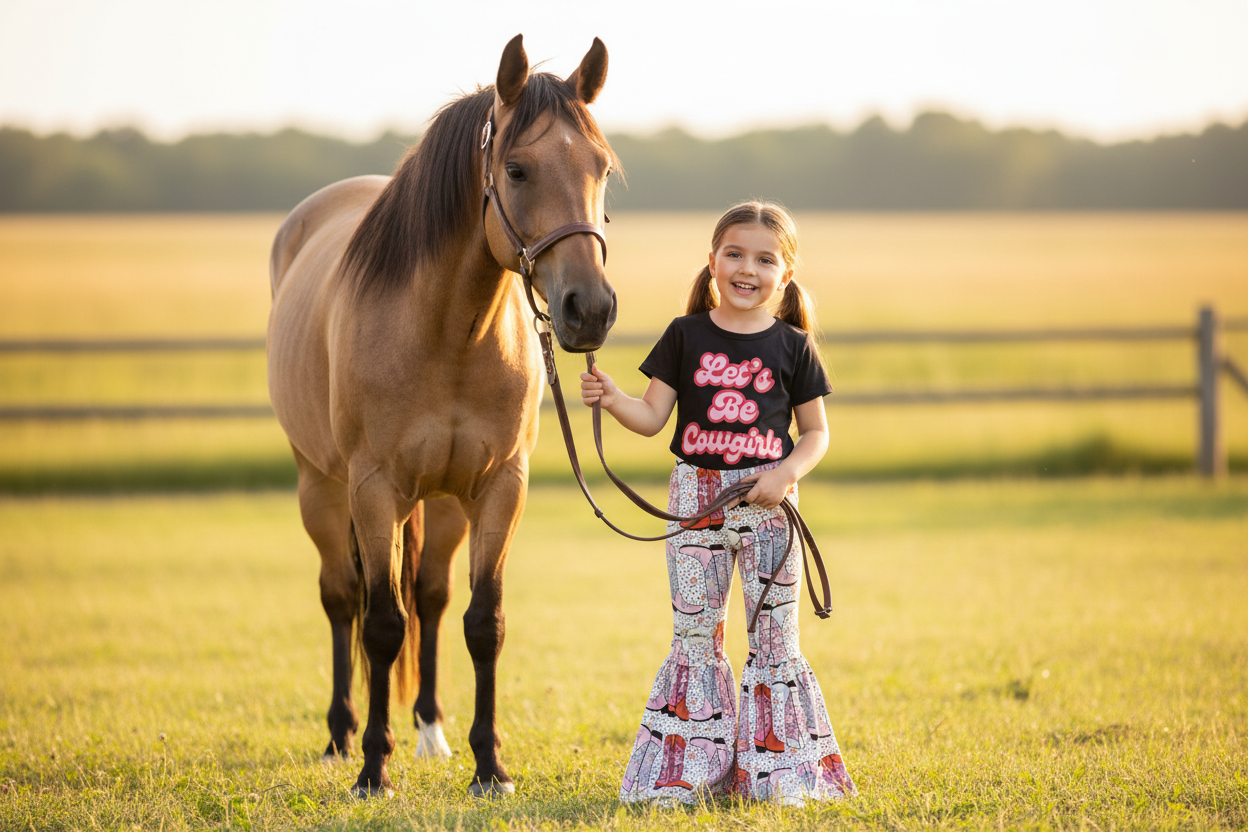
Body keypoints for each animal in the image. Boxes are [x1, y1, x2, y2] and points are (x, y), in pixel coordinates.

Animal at [266, 34, 618, 798]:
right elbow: (378, 626)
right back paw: (341, 736)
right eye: (516, 169)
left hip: (445, 503)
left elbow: (481, 621)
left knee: (428, 596)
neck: (447, 334)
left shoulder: (499, 488)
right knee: (342, 597)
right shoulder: (373, 490)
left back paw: (430, 730)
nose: (590, 309)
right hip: (321, 486)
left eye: (602, 167)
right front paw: (373, 768)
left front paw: (491, 766)